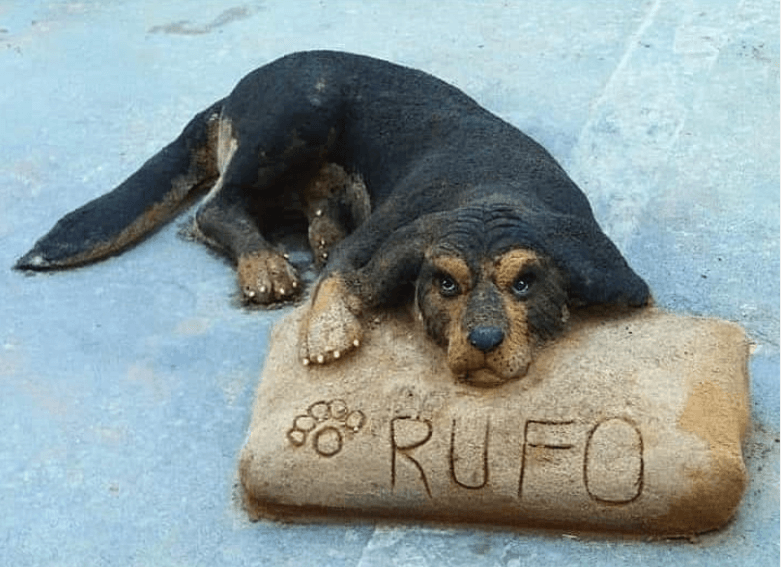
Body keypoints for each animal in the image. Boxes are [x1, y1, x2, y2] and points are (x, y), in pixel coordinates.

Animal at [15, 51, 648, 388]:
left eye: (526, 283)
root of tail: (235, 90)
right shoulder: (384, 237)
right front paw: (328, 332)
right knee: (217, 207)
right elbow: (342, 278)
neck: (496, 189)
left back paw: (319, 229)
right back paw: (264, 264)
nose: (486, 341)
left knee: (309, 196)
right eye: (445, 284)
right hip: (300, 111)